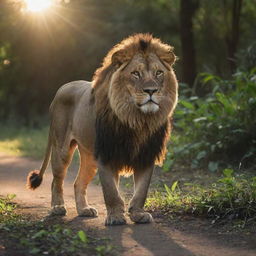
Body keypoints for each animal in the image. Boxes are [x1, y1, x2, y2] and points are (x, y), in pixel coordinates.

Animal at [26, 34, 178, 226]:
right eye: (136, 73)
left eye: (159, 73)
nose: (151, 90)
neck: (137, 120)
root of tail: (62, 88)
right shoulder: (106, 154)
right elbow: (111, 191)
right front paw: (115, 217)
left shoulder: (146, 154)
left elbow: (141, 190)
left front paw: (138, 214)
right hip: (62, 149)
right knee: (56, 180)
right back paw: (58, 208)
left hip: (90, 157)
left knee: (78, 183)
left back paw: (84, 210)